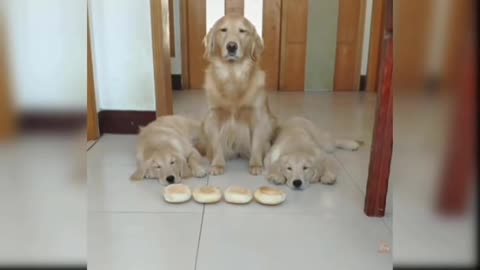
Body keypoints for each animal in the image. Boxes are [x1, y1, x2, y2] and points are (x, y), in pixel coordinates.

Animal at [202, 14, 274, 176]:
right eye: (223, 30)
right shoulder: (213, 116)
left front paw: (256, 164)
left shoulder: (258, 116)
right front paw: (217, 164)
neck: (232, 75)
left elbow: (256, 144)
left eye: (242, 31)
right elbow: (217, 143)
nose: (231, 46)